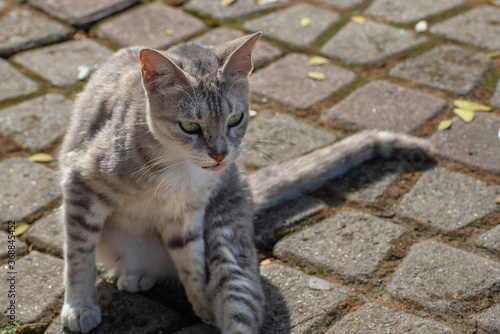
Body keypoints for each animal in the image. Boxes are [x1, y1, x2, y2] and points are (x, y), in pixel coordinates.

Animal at [59, 30, 434, 334]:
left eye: (236, 118)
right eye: (189, 126)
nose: (220, 155)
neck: (178, 170)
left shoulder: (188, 216)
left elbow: (192, 267)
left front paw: (203, 307)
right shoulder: (81, 185)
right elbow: (78, 257)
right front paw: (80, 306)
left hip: (228, 246)